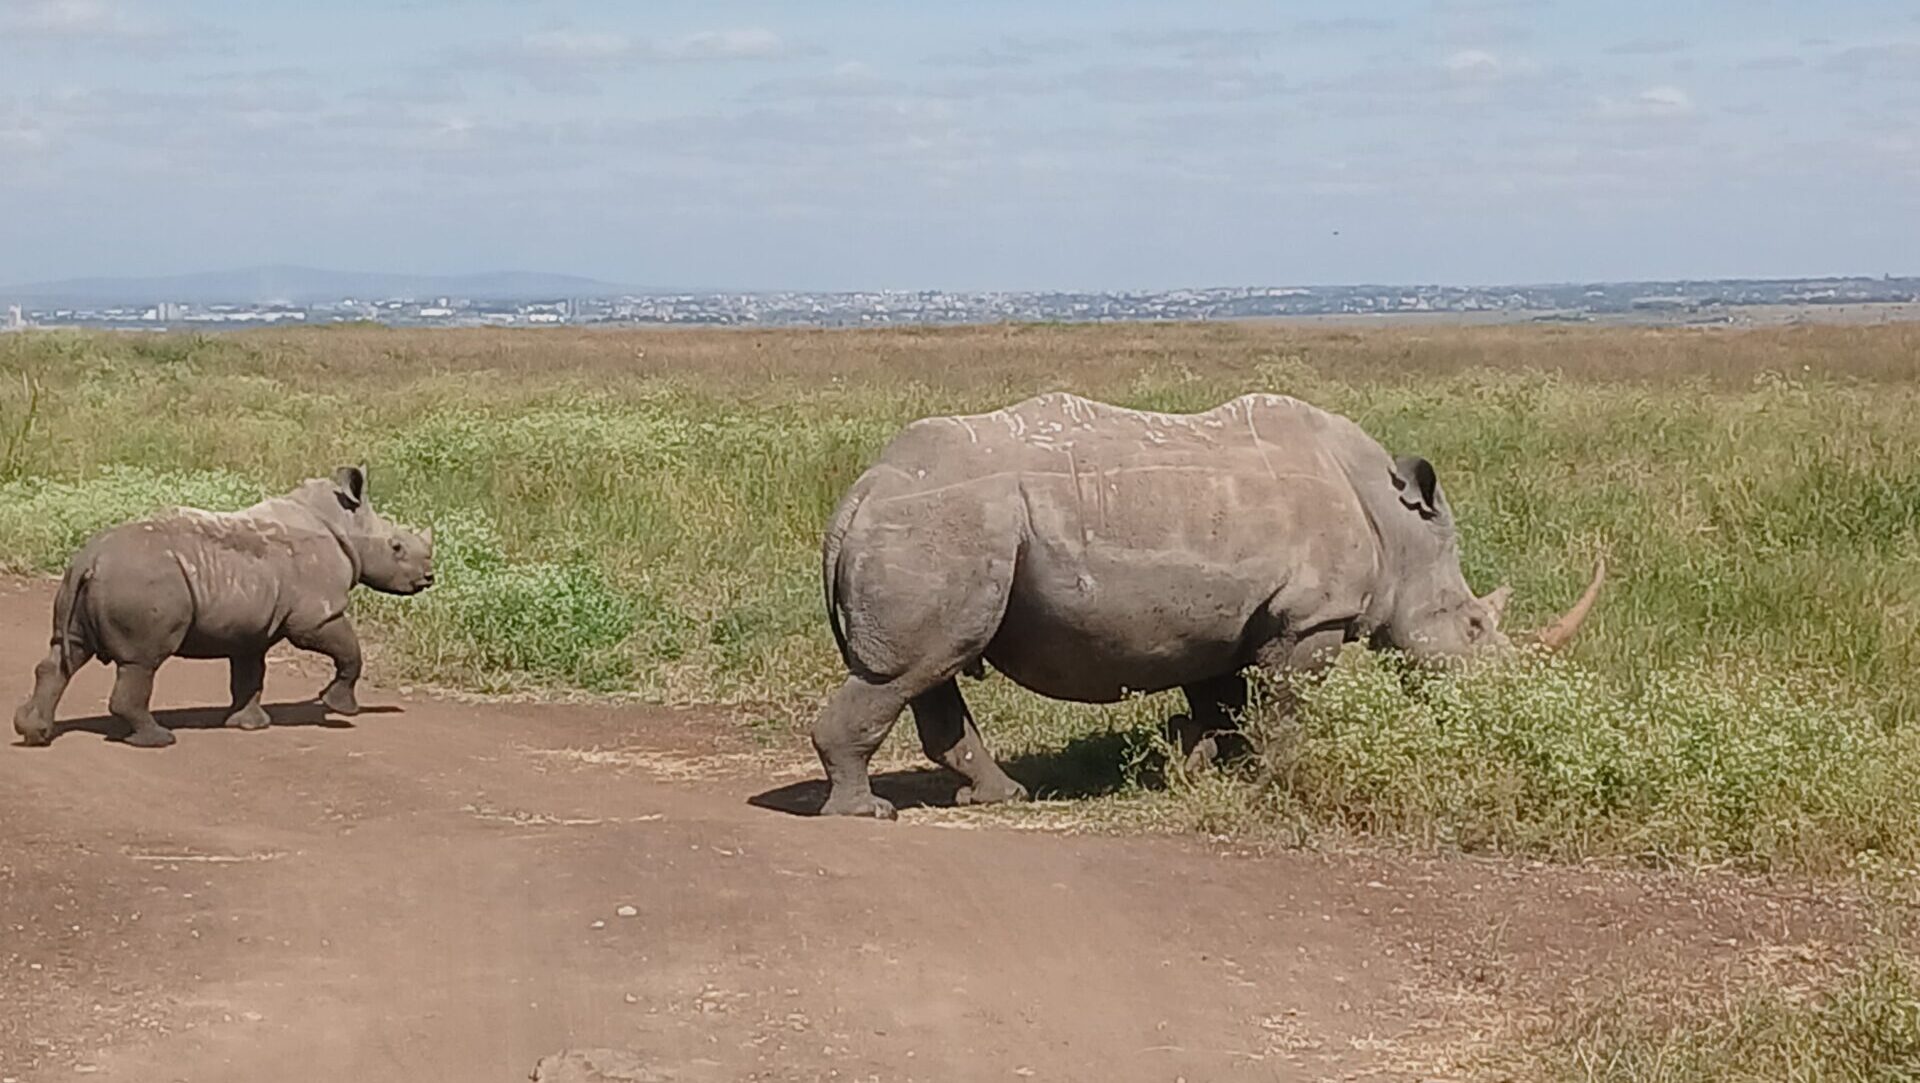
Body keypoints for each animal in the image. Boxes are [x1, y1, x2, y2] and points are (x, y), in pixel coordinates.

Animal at [11, 470, 433, 748]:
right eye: (396, 547)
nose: (429, 577)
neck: (344, 521)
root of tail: (92, 560)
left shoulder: (251, 627)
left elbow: (249, 674)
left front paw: (249, 726)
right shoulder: (316, 615)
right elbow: (350, 651)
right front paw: (340, 708)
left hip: (78, 581)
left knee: (65, 654)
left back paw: (34, 734)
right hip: (140, 581)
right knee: (142, 661)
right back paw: (159, 740)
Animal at [810, 393, 1605, 818]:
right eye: (1472, 626)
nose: (1500, 705)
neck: (1395, 524)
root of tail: (860, 491)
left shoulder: (1227, 621)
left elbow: (1221, 702)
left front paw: (1197, 768)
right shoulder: (1309, 617)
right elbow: (1282, 707)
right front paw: (1275, 779)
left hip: (952, 525)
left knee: (938, 662)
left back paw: (1003, 797)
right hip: (946, 520)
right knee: (909, 669)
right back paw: (868, 811)